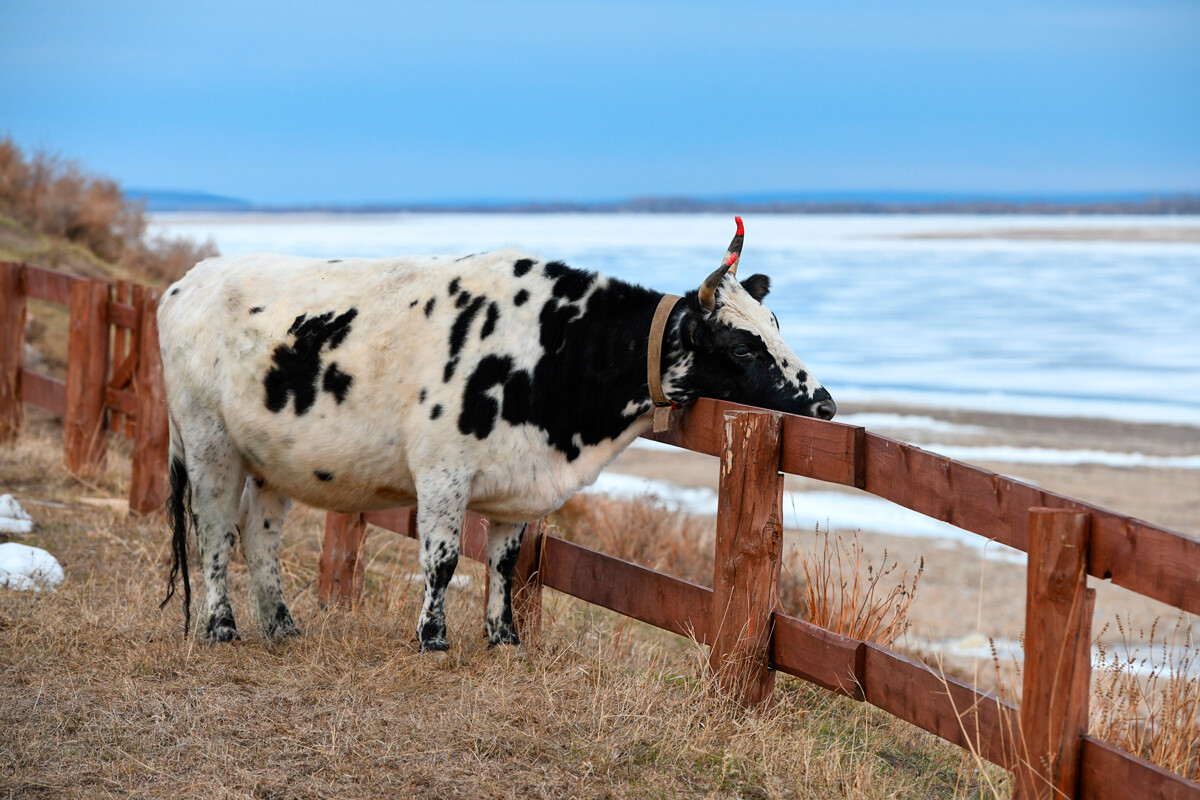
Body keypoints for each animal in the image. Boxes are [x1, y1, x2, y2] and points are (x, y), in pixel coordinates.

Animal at [159, 217, 835, 652]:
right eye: (742, 345)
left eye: (776, 322)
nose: (825, 404)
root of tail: (187, 281)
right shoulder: (441, 473)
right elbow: (442, 559)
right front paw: (433, 638)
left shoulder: (520, 485)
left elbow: (504, 563)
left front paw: (503, 637)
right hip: (210, 446)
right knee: (215, 529)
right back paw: (221, 628)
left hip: (272, 459)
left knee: (260, 534)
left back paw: (281, 626)